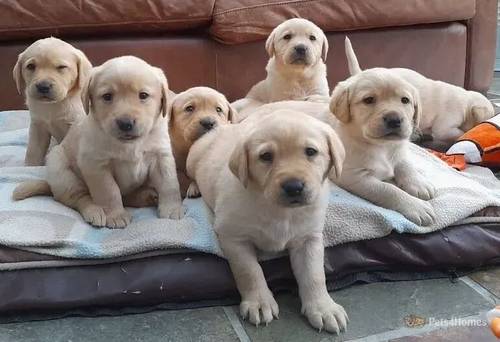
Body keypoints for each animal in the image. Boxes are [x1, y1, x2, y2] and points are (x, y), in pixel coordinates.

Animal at [12, 37, 92, 166]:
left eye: (61, 67)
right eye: (31, 66)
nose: (43, 86)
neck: (52, 106)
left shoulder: (75, 123)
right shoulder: (38, 126)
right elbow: (33, 150)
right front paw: (30, 166)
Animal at [12, 55, 183, 227]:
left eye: (143, 95)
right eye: (107, 96)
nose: (125, 123)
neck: (130, 145)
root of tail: (51, 186)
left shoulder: (161, 156)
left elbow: (169, 184)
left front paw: (171, 210)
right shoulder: (96, 165)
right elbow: (109, 191)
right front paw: (116, 215)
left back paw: (147, 196)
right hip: (61, 170)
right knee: (81, 198)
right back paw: (94, 212)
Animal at [187, 110, 348, 334]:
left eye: (311, 152)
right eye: (265, 156)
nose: (294, 187)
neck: (279, 211)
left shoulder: (309, 239)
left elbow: (314, 274)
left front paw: (324, 308)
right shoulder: (233, 236)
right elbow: (250, 270)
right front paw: (260, 303)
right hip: (191, 160)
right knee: (191, 176)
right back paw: (193, 188)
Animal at [330, 68, 436, 226]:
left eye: (405, 100)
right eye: (368, 100)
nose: (394, 119)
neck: (382, 147)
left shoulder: (399, 153)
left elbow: (406, 165)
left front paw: (419, 184)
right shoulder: (352, 176)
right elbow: (388, 189)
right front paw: (416, 206)